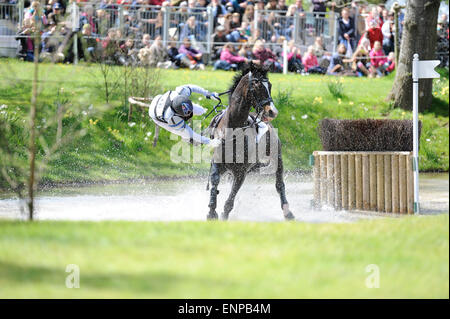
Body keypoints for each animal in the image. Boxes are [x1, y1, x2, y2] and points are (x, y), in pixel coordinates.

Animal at [205, 63, 296, 221]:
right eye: (258, 86)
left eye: (270, 86)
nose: (272, 112)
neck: (233, 128)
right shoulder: (218, 163)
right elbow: (215, 181)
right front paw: (211, 212)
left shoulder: (241, 172)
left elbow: (231, 198)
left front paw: (224, 215)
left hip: (277, 159)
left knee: (279, 185)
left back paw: (287, 212)